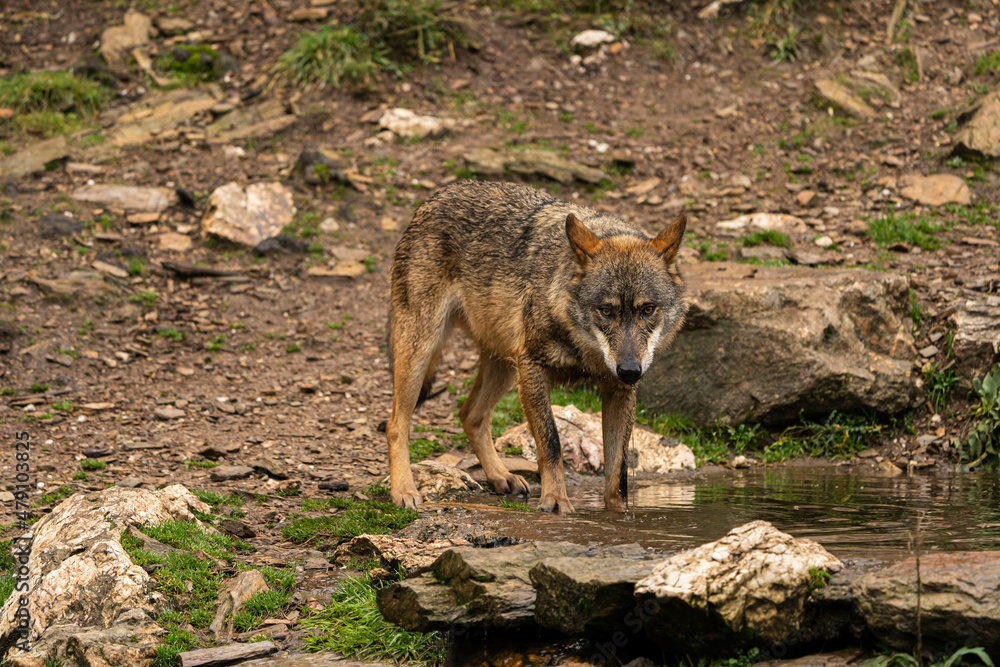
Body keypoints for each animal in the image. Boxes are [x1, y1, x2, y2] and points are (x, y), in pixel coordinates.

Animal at [386, 181, 688, 512]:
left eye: (648, 309)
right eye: (607, 311)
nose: (630, 370)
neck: (584, 349)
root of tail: (438, 195)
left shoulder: (618, 390)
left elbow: (618, 471)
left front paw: (617, 514)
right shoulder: (533, 370)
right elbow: (551, 443)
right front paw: (555, 502)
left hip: (504, 364)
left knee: (470, 415)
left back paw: (500, 476)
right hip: (421, 351)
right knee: (396, 424)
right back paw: (403, 490)